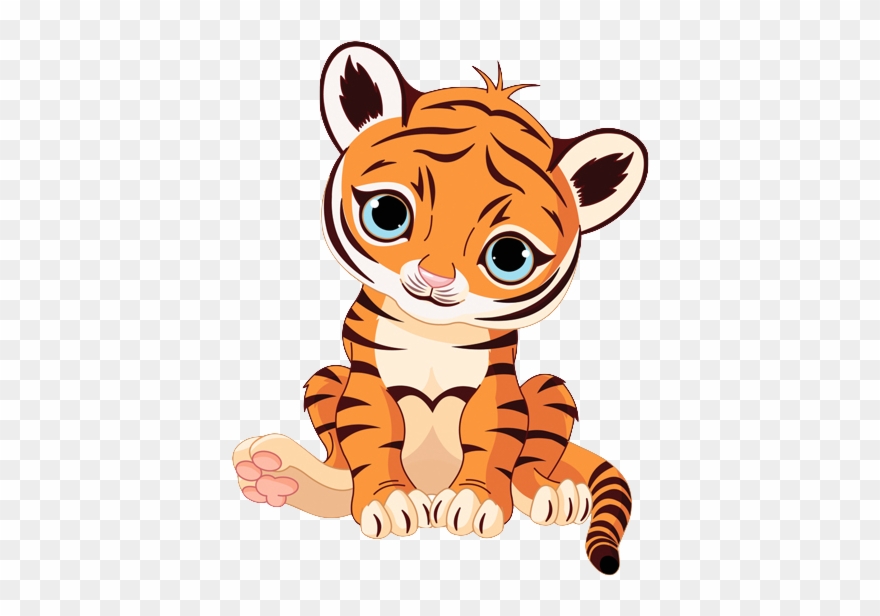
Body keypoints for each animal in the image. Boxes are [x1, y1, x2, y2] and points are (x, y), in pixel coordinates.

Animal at [232, 41, 648, 576]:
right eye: (388, 213)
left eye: (509, 255)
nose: (435, 278)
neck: (432, 332)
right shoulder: (365, 380)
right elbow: (371, 435)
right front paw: (389, 502)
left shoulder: (497, 388)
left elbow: (494, 443)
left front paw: (475, 503)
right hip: (327, 379)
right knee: (339, 463)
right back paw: (282, 475)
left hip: (548, 392)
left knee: (535, 458)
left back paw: (553, 495)